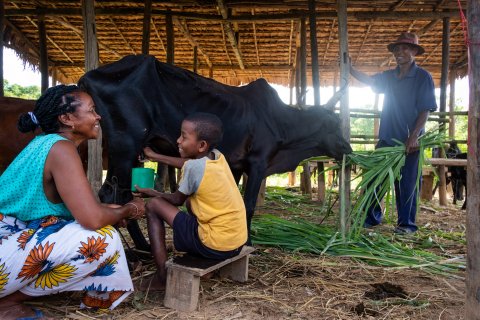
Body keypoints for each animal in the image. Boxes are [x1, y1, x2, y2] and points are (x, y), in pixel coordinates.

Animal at [78, 54, 348, 248]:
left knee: (115, 194)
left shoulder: (236, 166)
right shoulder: (258, 163)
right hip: (125, 148)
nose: (347, 148)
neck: (281, 122)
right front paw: (248, 243)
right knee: (115, 195)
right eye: (333, 124)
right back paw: (141, 248)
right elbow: (249, 205)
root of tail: (88, 77)